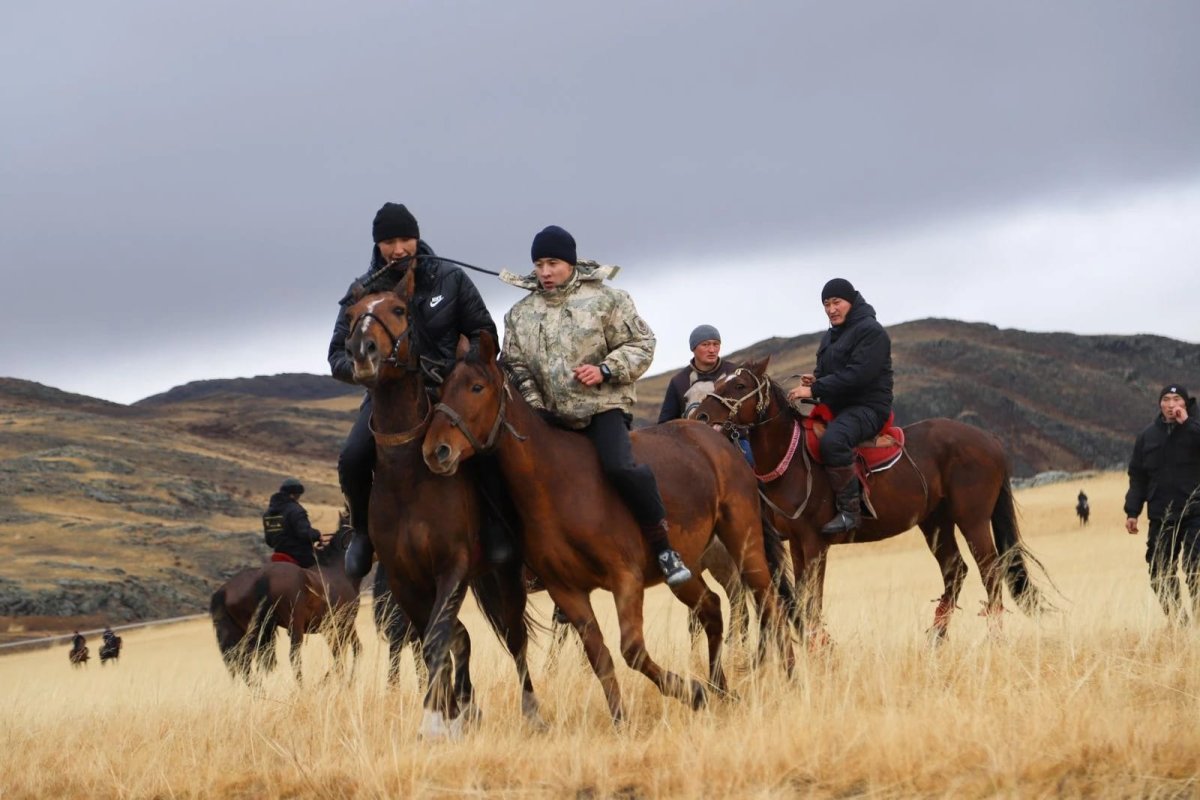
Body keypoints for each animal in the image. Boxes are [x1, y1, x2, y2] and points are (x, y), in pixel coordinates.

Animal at [207, 525, 360, 681]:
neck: (338, 568)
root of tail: (223, 591)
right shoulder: (346, 623)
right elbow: (353, 649)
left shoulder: (330, 628)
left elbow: (339, 652)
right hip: (287, 627)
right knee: (291, 657)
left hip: (239, 632)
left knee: (243, 664)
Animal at [338, 284, 544, 743]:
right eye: (353, 314)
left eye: (399, 309)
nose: (362, 351)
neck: (407, 476)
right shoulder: (404, 579)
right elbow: (435, 639)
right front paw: (446, 715)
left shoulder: (452, 566)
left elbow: (436, 640)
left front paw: (434, 722)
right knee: (461, 637)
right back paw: (466, 707)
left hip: (503, 579)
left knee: (515, 638)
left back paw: (530, 709)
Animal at [422, 331, 796, 724]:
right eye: (441, 389)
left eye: (476, 387)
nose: (436, 451)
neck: (555, 483)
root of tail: (719, 440)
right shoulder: (566, 592)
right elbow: (599, 657)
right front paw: (621, 719)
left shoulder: (625, 578)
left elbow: (631, 650)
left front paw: (690, 693)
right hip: (688, 567)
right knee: (711, 608)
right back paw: (721, 689)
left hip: (743, 542)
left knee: (768, 602)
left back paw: (787, 677)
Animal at [696, 359, 1051, 647]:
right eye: (717, 383)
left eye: (739, 386)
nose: (700, 414)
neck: (792, 459)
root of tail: (990, 440)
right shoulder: (796, 544)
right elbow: (803, 595)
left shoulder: (814, 543)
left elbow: (813, 599)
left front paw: (819, 649)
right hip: (935, 522)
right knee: (955, 570)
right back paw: (936, 641)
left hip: (973, 520)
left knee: (990, 570)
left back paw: (995, 639)